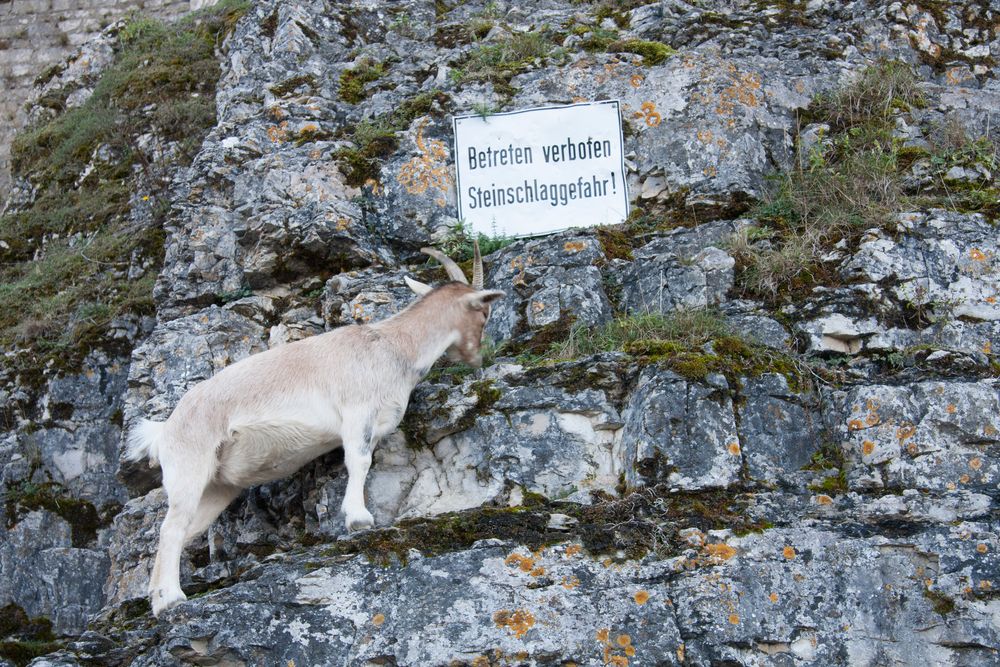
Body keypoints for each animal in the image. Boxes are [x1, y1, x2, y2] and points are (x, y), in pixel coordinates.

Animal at [125, 243, 500, 620]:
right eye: (484, 313)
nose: (477, 359)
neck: (393, 347)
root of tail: (163, 431)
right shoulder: (357, 413)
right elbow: (360, 463)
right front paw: (359, 519)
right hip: (190, 467)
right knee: (172, 527)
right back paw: (172, 599)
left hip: (218, 486)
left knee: (182, 530)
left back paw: (157, 600)